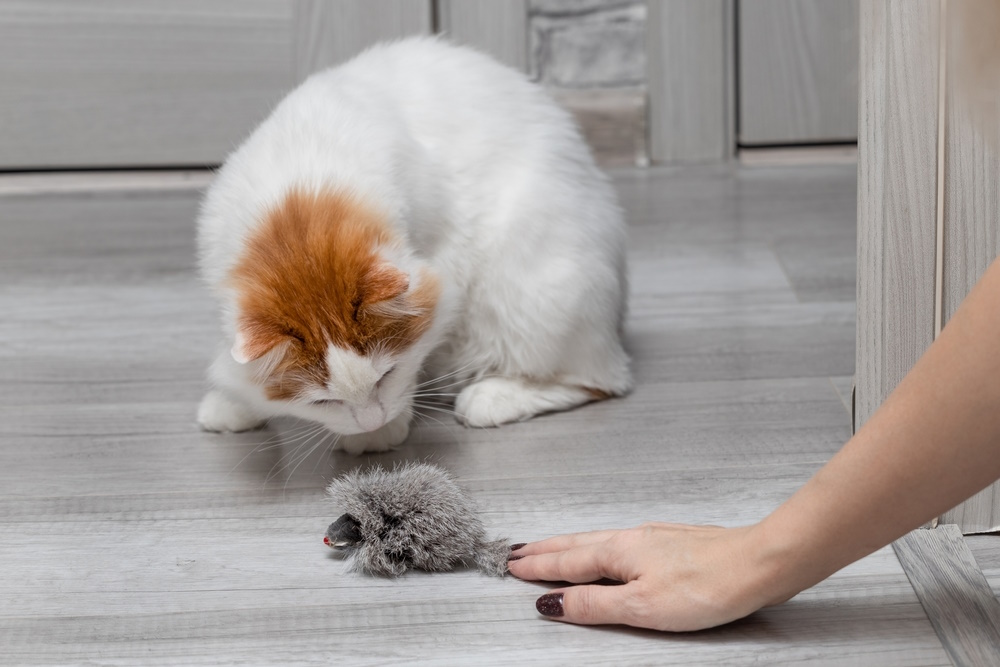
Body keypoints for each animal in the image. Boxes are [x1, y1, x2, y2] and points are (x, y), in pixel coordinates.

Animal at [197, 36, 632, 454]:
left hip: (533, 301)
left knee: (594, 382)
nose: (370, 420)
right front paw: (232, 406)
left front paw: (378, 434)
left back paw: (490, 397)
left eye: (386, 375)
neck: (299, 196)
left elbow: (419, 354)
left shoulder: (442, 263)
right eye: (323, 402)